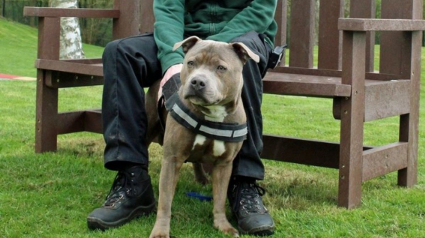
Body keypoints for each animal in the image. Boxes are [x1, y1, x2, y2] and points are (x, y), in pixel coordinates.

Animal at [146, 35, 258, 238]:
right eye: (191, 63)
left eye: (221, 68)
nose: (197, 82)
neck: (212, 114)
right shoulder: (172, 159)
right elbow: (165, 200)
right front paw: (160, 231)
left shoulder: (224, 164)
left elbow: (220, 197)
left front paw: (222, 225)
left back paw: (201, 178)